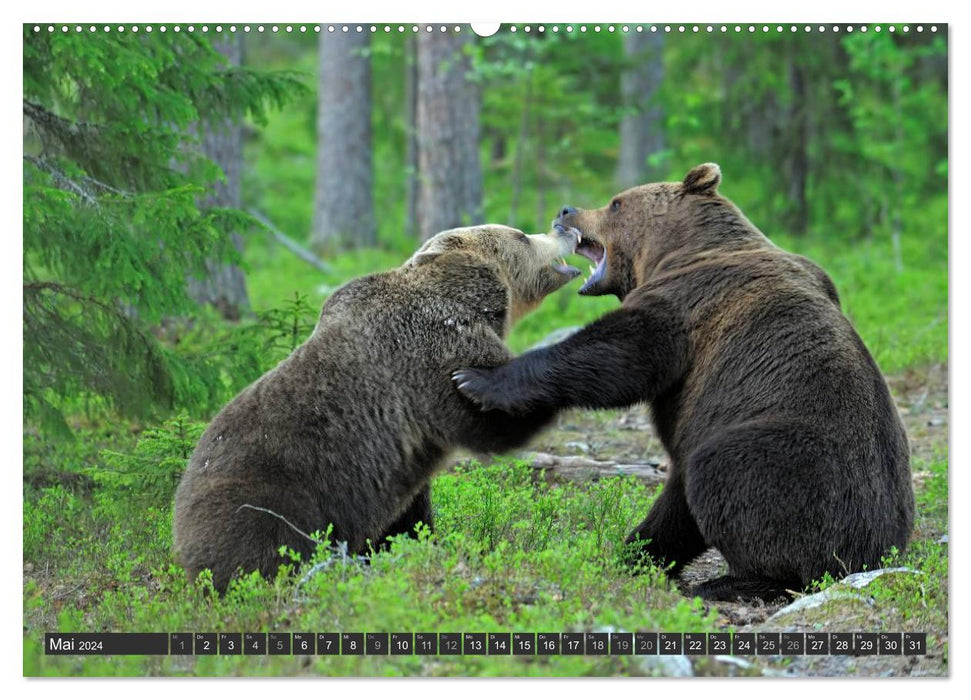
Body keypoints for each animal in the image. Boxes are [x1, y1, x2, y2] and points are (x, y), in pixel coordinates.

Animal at [175, 223, 580, 592]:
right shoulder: (433, 348)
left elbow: (408, 517)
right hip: (270, 498)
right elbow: (492, 419)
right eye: (521, 235)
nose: (565, 227)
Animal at [454, 164, 912, 600]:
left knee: (727, 472)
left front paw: (478, 379)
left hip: (797, 463)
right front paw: (636, 556)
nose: (567, 211)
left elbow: (621, 355)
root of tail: (870, 552)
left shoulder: (687, 305)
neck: (677, 248)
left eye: (615, 202)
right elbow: (674, 510)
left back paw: (733, 582)